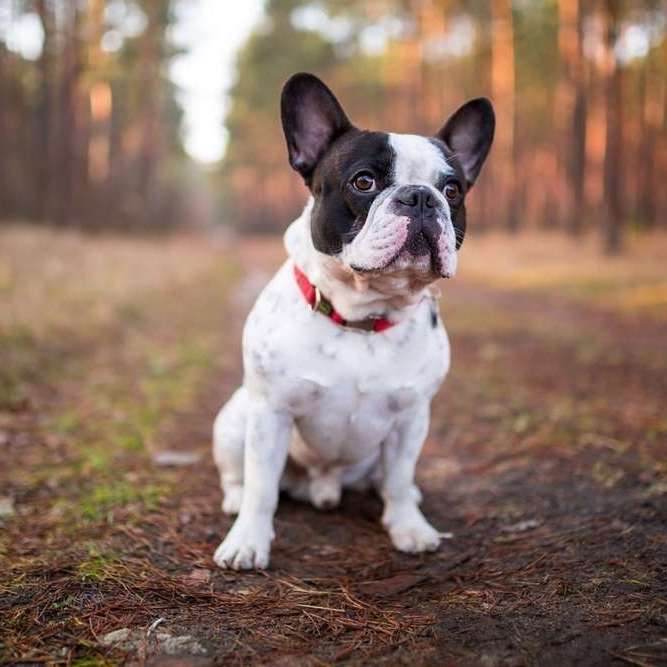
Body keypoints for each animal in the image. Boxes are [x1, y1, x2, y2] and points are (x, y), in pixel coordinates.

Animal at [211, 74, 494, 576]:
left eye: (453, 190)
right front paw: (247, 541)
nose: (421, 197)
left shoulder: (411, 419)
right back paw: (235, 502)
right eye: (364, 182)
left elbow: (399, 478)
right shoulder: (271, 413)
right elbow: (262, 486)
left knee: (389, 480)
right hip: (234, 420)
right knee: (238, 476)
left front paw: (409, 528)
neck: (363, 314)